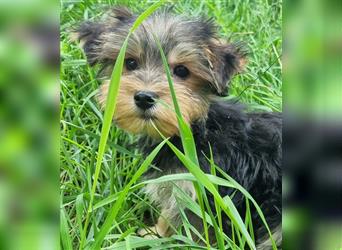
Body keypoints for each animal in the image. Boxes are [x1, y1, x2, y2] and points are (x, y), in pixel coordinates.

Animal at [73, 6, 282, 250]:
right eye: (131, 63)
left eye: (182, 71)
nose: (144, 97)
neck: (196, 129)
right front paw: (152, 234)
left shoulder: (199, 188)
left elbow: (182, 220)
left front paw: (156, 237)